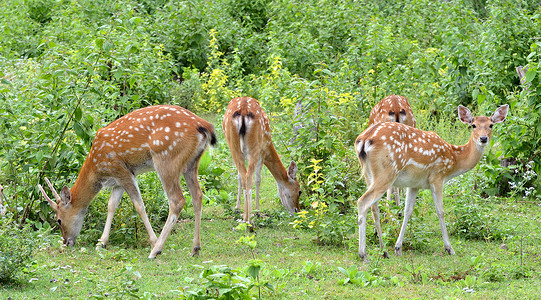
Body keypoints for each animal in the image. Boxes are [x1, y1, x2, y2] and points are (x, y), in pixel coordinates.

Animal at [39, 105, 216, 258]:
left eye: (58, 220)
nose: (66, 242)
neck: (97, 168)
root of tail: (204, 125)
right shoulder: (118, 181)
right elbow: (111, 205)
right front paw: (101, 243)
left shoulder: (122, 170)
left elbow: (139, 205)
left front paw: (153, 242)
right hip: (192, 163)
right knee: (198, 195)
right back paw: (195, 249)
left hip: (166, 158)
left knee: (177, 200)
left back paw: (156, 251)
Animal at [354, 104, 506, 258]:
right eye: (473, 125)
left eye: (491, 125)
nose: (483, 138)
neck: (454, 159)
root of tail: (364, 140)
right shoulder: (437, 177)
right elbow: (440, 211)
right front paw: (449, 248)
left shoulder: (414, 184)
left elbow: (408, 211)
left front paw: (398, 247)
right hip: (387, 172)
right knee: (363, 202)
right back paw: (363, 254)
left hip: (369, 175)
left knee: (374, 207)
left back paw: (383, 250)